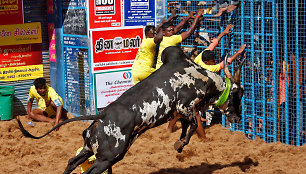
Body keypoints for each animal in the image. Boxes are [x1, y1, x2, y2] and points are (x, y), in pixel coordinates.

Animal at [17, 46, 245, 174]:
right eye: (238, 94)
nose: (237, 117)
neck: (203, 76)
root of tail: (101, 116)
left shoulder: (181, 112)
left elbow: (186, 125)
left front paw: (179, 145)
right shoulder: (185, 105)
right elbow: (193, 124)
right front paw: (179, 145)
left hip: (90, 150)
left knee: (72, 162)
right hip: (106, 159)